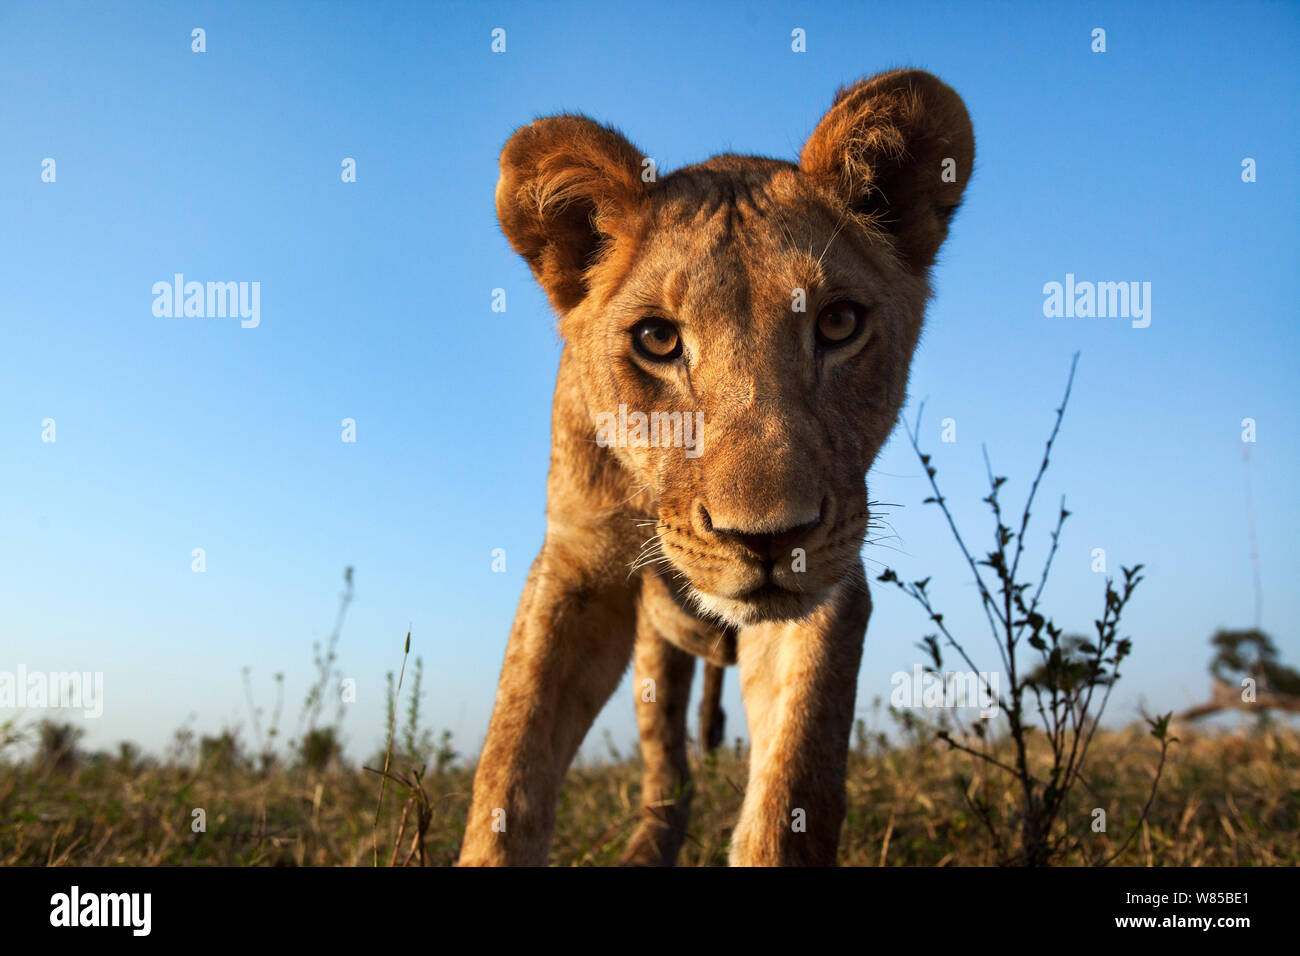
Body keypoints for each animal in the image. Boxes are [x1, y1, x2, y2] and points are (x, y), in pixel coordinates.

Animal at [459, 68, 974, 866]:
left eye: (838, 323)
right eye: (657, 340)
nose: (768, 540)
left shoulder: (829, 582)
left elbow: (791, 793)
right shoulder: (578, 561)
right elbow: (509, 766)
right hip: (657, 657)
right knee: (667, 765)